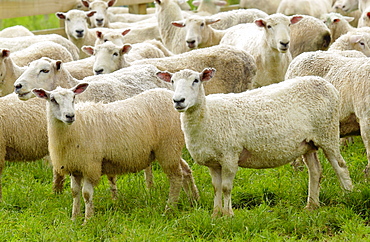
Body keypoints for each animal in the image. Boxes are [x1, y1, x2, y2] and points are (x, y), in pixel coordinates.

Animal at [32, 83, 199, 223]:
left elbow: (86, 194)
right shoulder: (75, 166)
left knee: (176, 177)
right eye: (53, 99)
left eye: (73, 98)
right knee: (185, 170)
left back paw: (169, 208)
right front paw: (74, 219)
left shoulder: (90, 165)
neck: (75, 127)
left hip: (168, 147)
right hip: (171, 148)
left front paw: (87, 221)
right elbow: (75, 193)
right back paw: (194, 200)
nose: (70, 116)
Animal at [156, 67, 352, 217]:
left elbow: (226, 188)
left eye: (196, 80)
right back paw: (312, 205)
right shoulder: (213, 162)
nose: (178, 101)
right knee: (316, 171)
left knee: (341, 166)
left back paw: (350, 195)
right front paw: (216, 214)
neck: (208, 115)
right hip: (308, 143)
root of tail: (326, 84)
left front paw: (228, 215)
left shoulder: (229, 155)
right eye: (172, 81)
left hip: (327, 132)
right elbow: (216, 188)